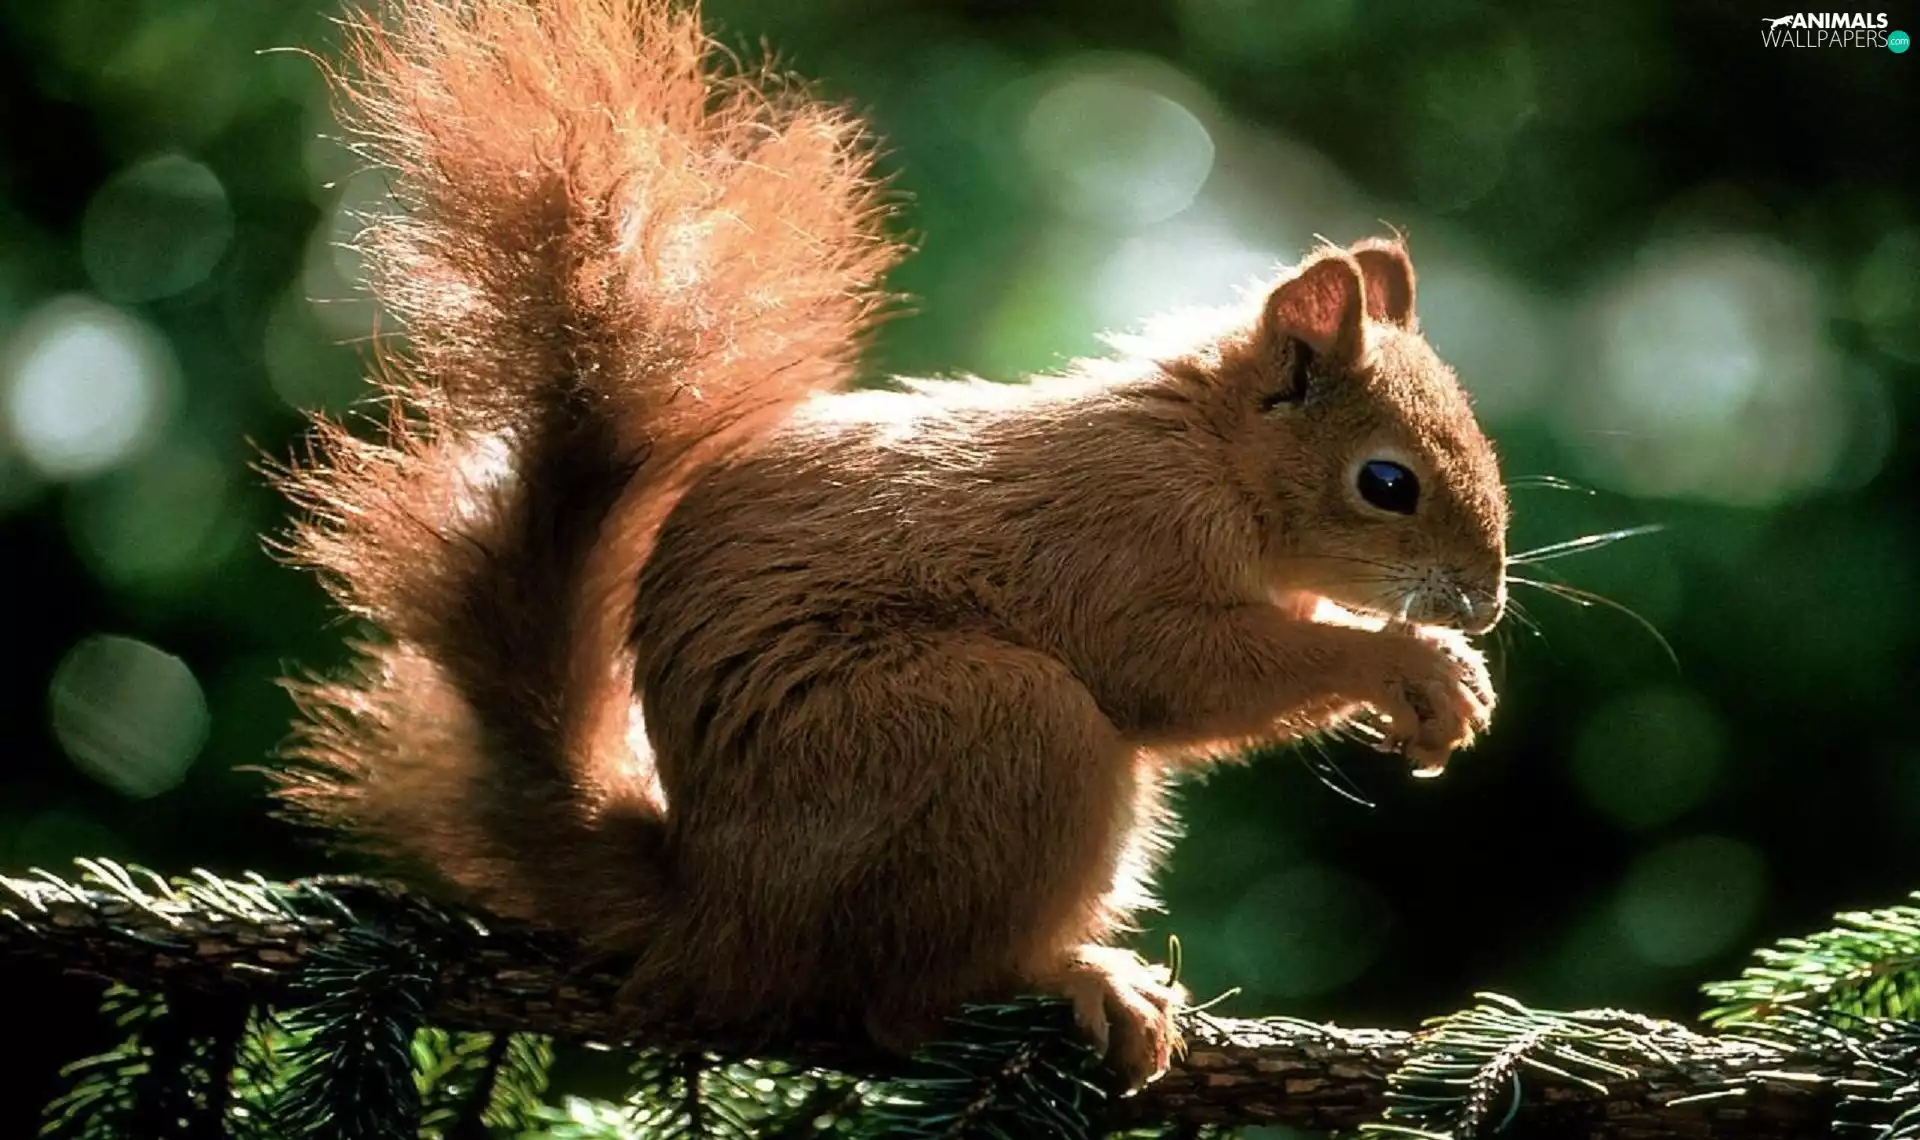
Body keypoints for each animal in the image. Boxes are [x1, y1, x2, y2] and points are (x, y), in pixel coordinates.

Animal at [271, 0, 1508, 1091]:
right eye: (1386, 483)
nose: (1486, 604)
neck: (1206, 456)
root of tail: (716, 911)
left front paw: (1444, 683)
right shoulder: (1115, 550)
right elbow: (1182, 673)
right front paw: (1407, 662)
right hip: (988, 728)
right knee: (899, 1000)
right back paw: (1076, 977)